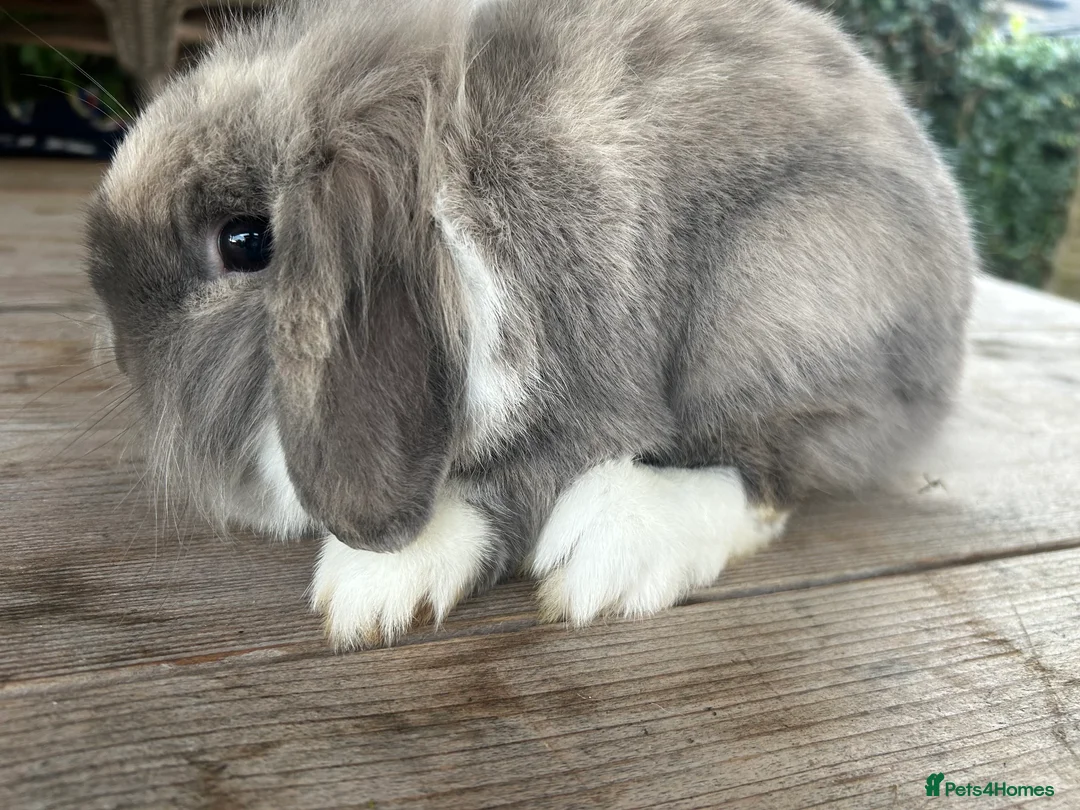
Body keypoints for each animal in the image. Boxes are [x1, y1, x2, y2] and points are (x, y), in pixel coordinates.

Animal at [85, 0, 976, 650]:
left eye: (244, 240)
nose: (122, 355)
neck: (456, 205)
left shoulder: (587, 390)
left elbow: (513, 484)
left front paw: (372, 586)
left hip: (774, 309)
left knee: (766, 474)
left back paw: (615, 554)